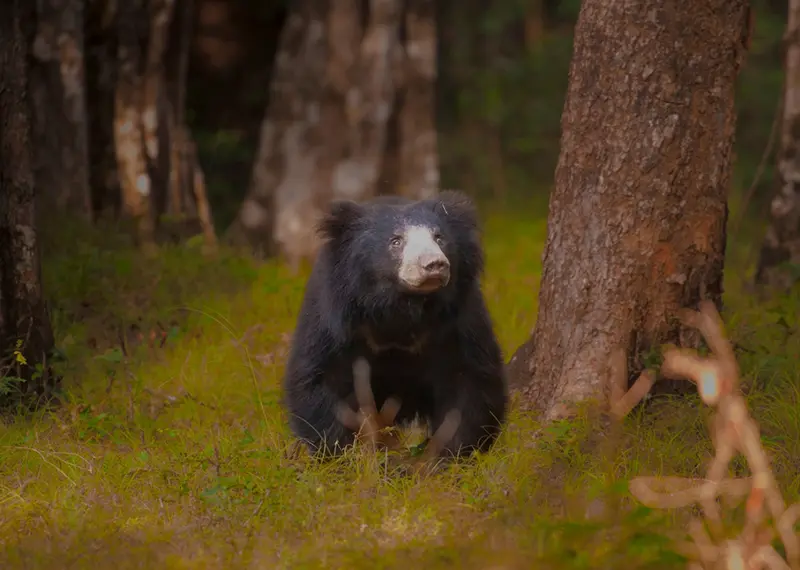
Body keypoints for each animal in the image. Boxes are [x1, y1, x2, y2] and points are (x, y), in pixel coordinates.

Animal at [281, 190, 508, 459]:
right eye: (396, 241)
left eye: (439, 238)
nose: (434, 265)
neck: (399, 306)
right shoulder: (334, 317)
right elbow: (319, 378)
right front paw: (342, 455)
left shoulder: (460, 317)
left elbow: (471, 382)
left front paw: (448, 457)